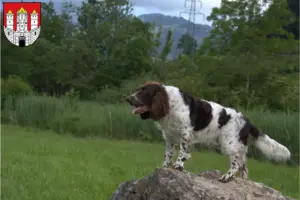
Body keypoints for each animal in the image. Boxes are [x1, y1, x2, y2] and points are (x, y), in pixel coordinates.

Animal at [125, 81, 292, 183]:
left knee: (236, 165)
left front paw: (178, 166)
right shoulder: (169, 136)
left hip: (229, 144)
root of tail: (247, 122)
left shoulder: (186, 134)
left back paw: (226, 177)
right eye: (138, 90)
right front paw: (165, 167)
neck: (169, 104)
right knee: (244, 167)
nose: (127, 98)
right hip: (239, 147)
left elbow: (182, 153)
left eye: (143, 92)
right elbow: (168, 154)